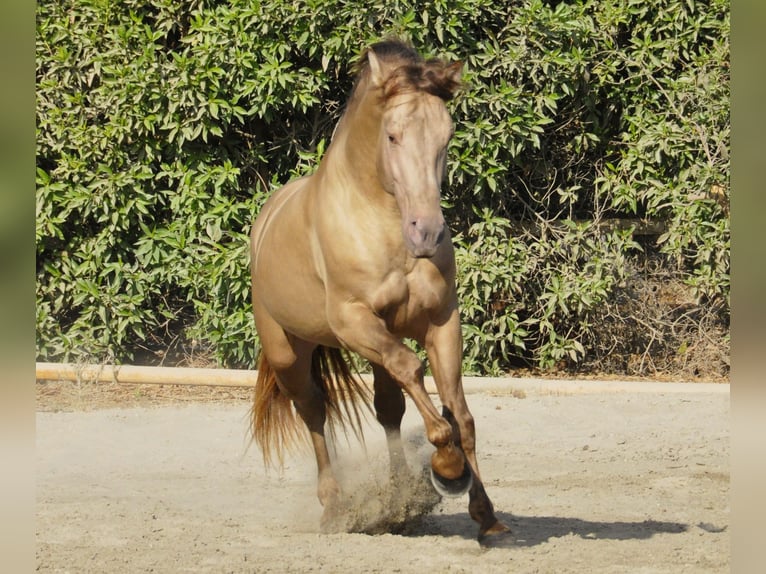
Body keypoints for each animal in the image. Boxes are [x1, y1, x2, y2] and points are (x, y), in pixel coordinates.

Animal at [249, 39, 510, 543]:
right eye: (392, 136)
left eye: (446, 137)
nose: (427, 233)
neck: (380, 221)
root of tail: (266, 217)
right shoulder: (353, 321)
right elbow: (415, 372)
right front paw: (447, 467)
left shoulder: (441, 321)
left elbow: (459, 412)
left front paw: (484, 512)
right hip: (290, 353)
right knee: (314, 411)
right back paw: (335, 508)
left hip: (373, 347)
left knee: (388, 407)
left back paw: (398, 499)